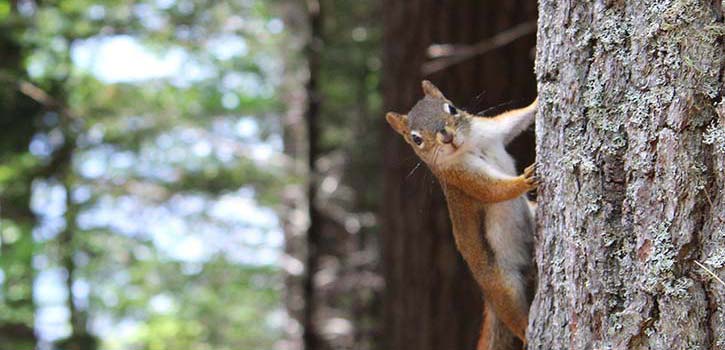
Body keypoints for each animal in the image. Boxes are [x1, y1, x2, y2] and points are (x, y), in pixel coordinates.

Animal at [384, 80, 536, 350]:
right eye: (416, 139)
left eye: (451, 108)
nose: (446, 137)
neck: (470, 145)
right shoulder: (461, 179)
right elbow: (492, 190)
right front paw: (523, 181)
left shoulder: (493, 130)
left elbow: (515, 119)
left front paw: (538, 102)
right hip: (501, 285)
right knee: (513, 317)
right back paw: (527, 331)